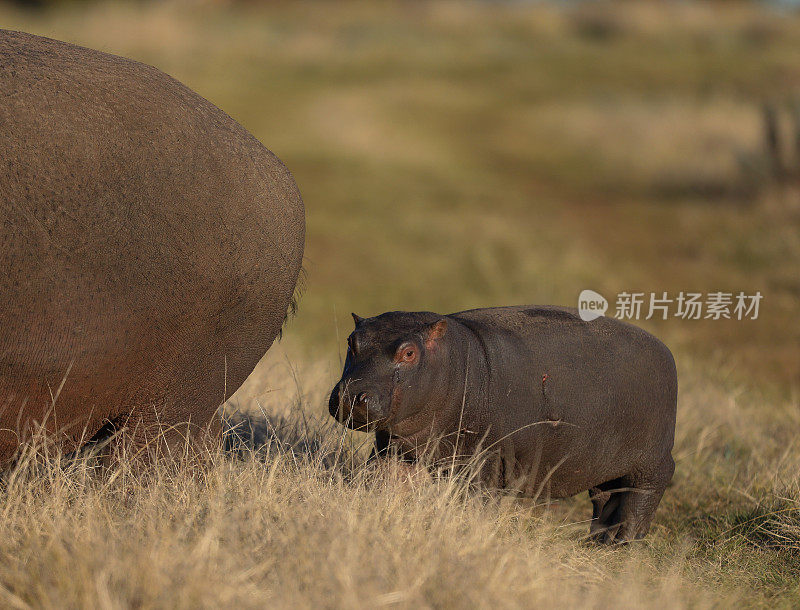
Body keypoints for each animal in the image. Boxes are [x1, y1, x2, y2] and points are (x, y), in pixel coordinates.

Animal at [328, 304, 680, 540]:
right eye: (351, 341)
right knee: (606, 501)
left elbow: (475, 500)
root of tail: (667, 352)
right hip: (606, 468)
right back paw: (596, 543)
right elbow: (381, 481)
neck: (455, 361)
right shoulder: (393, 448)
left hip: (651, 464)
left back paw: (620, 545)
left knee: (639, 501)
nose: (351, 395)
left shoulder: (484, 455)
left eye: (410, 353)